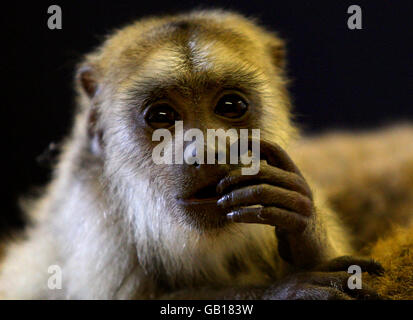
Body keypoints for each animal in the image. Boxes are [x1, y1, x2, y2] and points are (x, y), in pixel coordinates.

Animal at [0, 10, 384, 300]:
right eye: (161, 115)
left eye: (231, 106)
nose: (208, 153)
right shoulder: (92, 209)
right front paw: (285, 291)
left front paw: (301, 224)